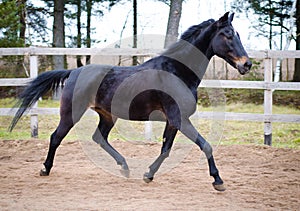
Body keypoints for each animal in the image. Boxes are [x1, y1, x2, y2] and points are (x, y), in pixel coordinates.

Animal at [9, 12, 251, 191]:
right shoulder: (179, 119)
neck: (176, 71)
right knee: (56, 137)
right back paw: (45, 169)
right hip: (71, 113)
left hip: (107, 115)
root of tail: (74, 71)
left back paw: (124, 167)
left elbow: (166, 149)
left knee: (99, 137)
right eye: (228, 35)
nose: (246, 64)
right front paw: (218, 181)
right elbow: (205, 145)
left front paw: (148, 174)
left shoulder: (173, 121)